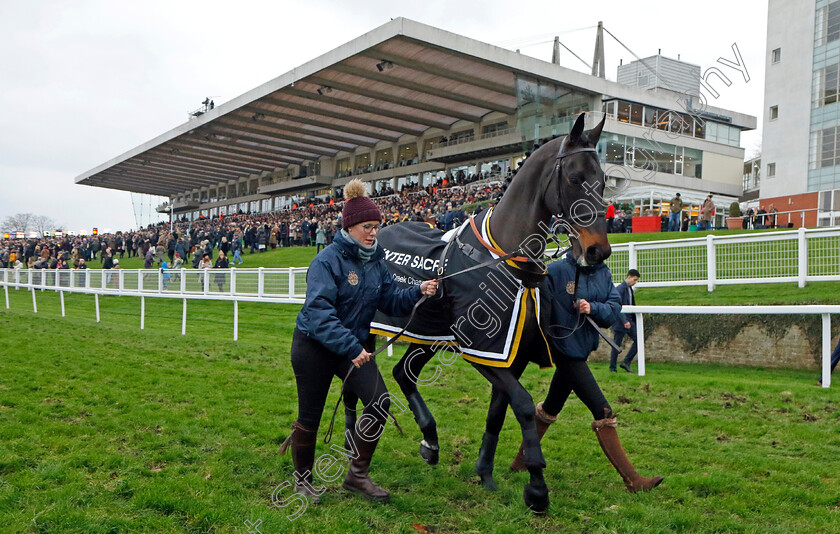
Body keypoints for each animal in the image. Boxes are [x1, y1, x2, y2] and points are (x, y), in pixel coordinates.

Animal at [344, 113, 608, 516]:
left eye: (604, 180)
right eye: (575, 178)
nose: (597, 251)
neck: (507, 264)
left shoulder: (509, 356)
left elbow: (499, 411)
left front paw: (485, 471)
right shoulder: (480, 351)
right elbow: (524, 405)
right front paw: (537, 487)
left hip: (427, 333)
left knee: (403, 373)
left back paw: (431, 440)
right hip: (367, 332)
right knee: (354, 382)